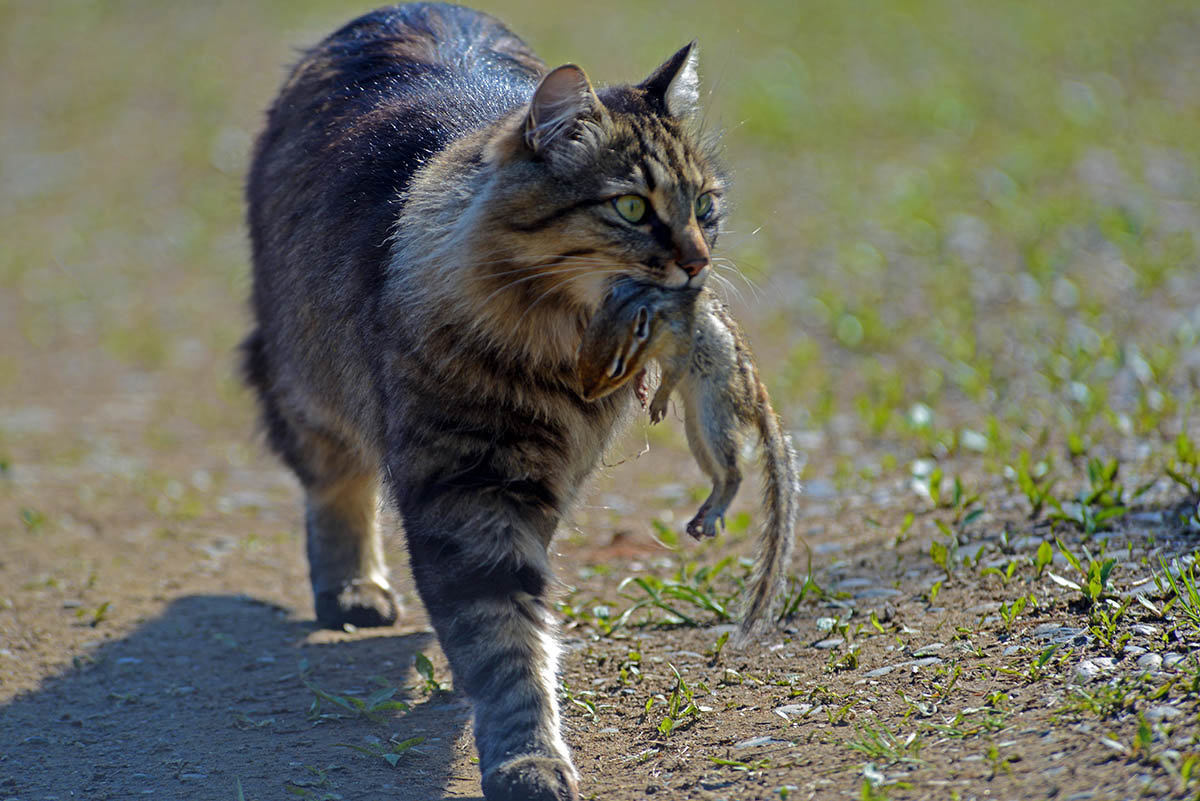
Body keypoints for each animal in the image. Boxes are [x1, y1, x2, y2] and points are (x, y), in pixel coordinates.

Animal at [242, 3, 724, 796]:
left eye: (706, 208)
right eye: (630, 207)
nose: (698, 262)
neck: (553, 352)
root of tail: (403, 9)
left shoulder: (542, 480)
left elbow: (522, 624)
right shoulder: (464, 489)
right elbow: (503, 640)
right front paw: (527, 757)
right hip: (307, 377)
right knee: (334, 482)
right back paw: (353, 590)